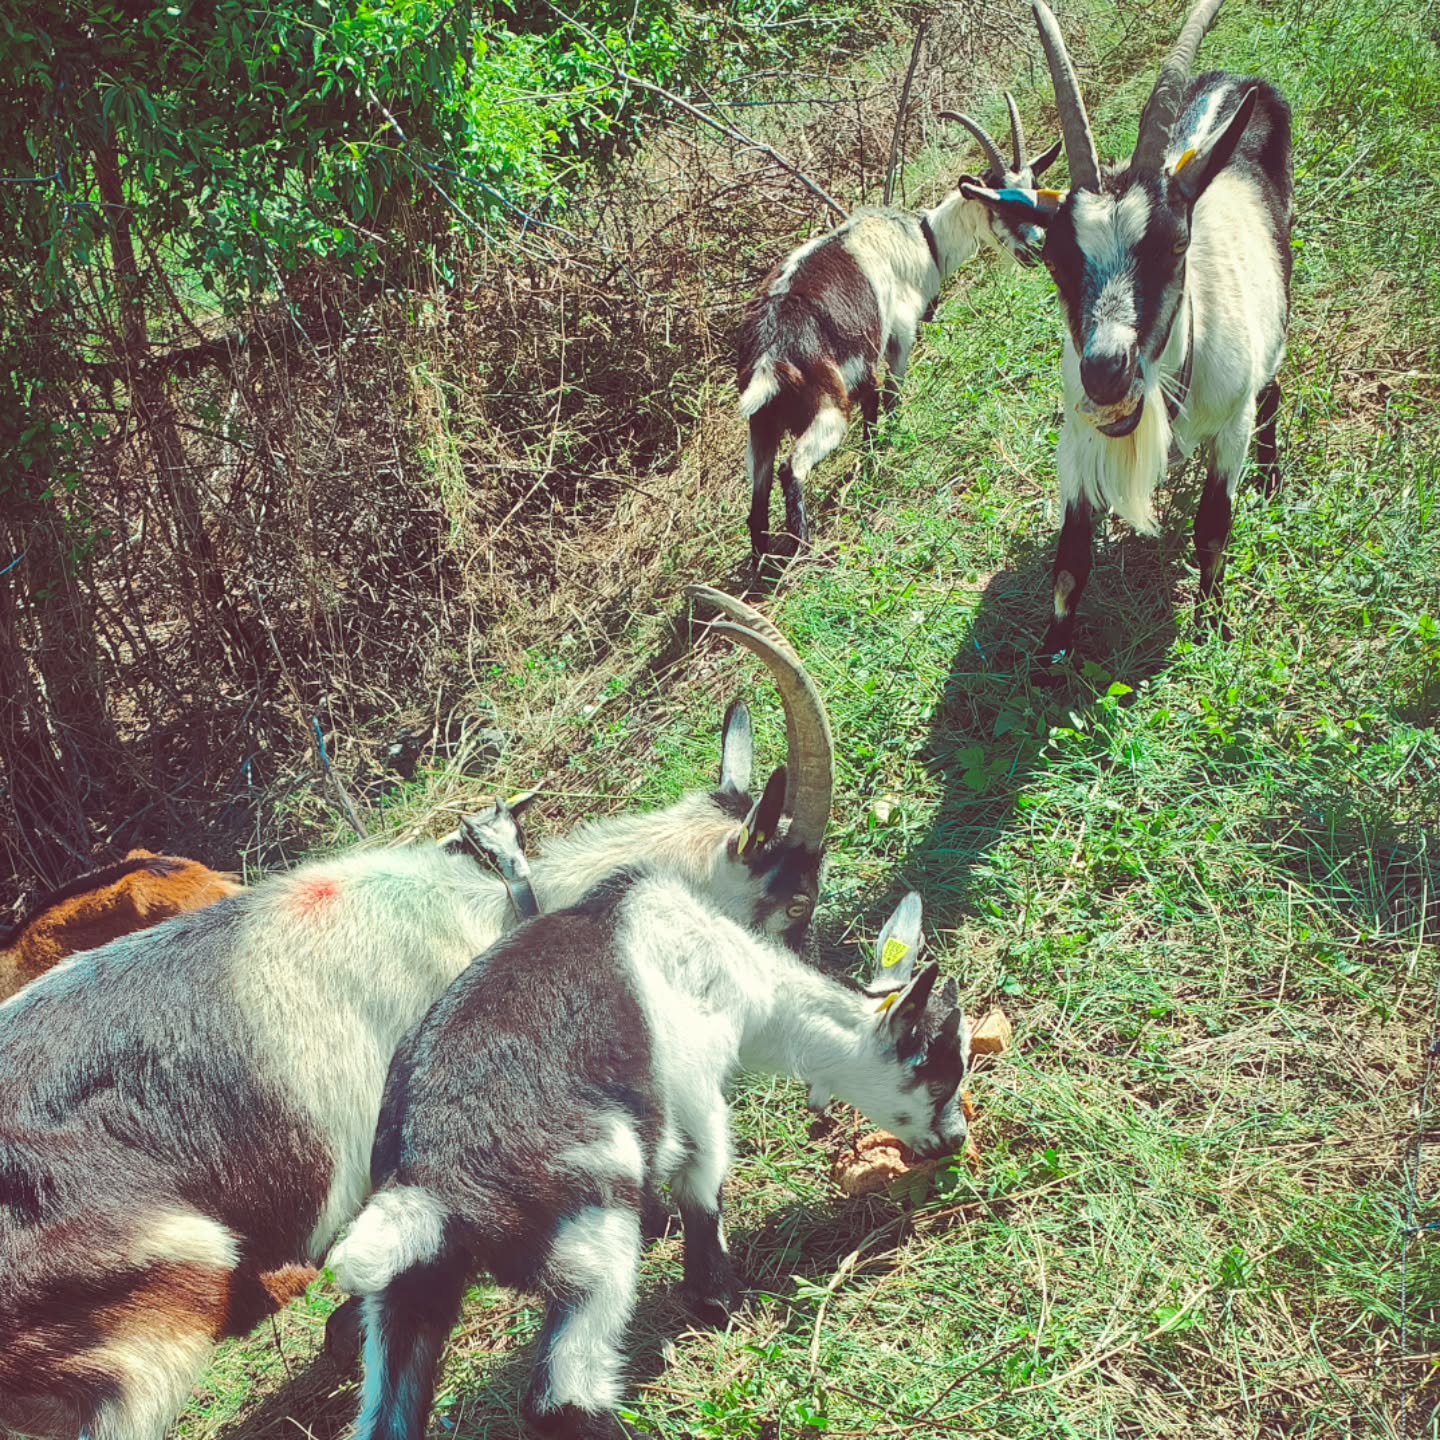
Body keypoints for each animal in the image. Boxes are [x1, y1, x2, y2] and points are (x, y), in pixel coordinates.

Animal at [330, 878, 966, 1440]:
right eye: (939, 1071)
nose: (956, 1140)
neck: (745, 977)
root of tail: (424, 1184)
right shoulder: (695, 1078)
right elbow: (704, 1178)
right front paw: (718, 1299)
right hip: (593, 1214)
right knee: (562, 1397)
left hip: (410, 1287)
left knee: (390, 1412)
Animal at [737, 98, 1060, 561]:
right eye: (1001, 205)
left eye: (1036, 190)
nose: (1036, 246)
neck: (924, 240)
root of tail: (768, 350)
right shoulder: (900, 335)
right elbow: (892, 397)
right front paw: (893, 443)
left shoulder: (866, 364)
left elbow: (874, 411)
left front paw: (873, 457)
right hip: (827, 403)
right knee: (791, 466)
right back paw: (806, 548)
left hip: (760, 421)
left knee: (757, 494)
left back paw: (766, 561)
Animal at [963, 0, 1293, 659]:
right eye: (1057, 262)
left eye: (1176, 244)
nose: (1105, 373)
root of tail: (1232, 83)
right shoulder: (1079, 438)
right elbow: (1070, 560)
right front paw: (1050, 657)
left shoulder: (1232, 423)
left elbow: (1213, 528)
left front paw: (1211, 622)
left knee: (1274, 379)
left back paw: (1270, 479)